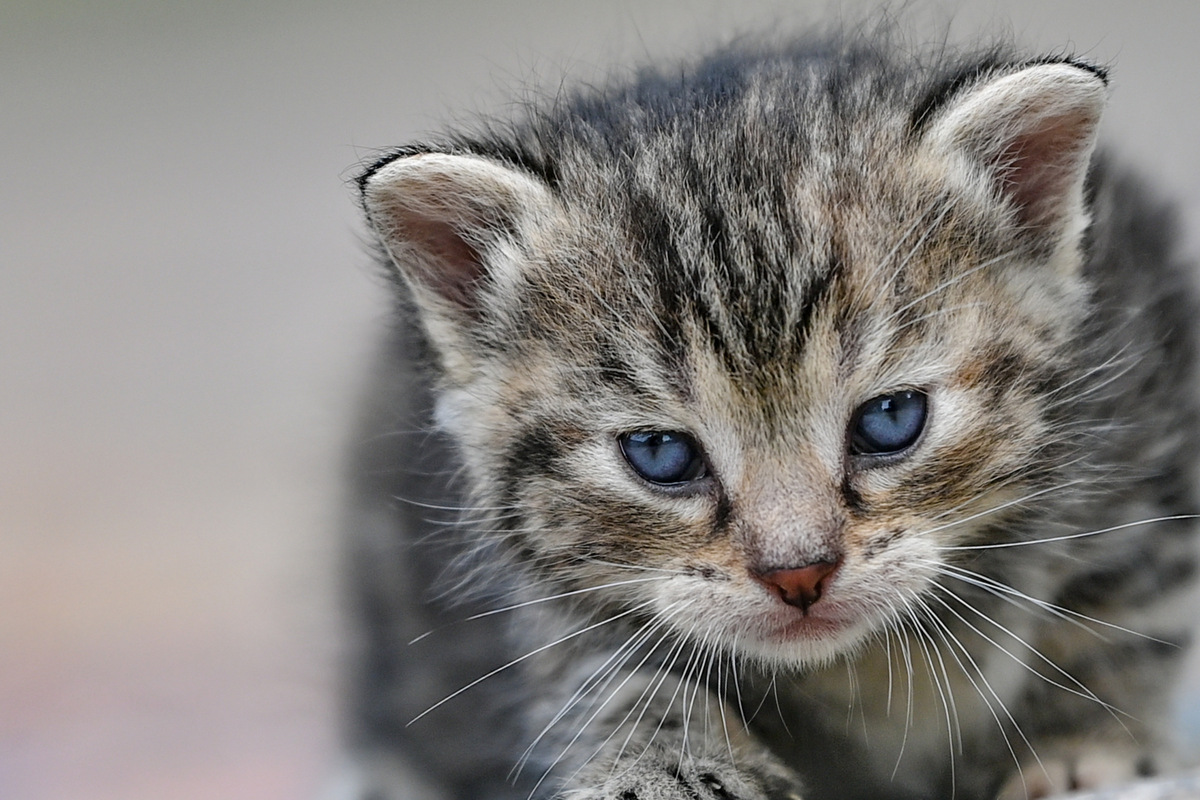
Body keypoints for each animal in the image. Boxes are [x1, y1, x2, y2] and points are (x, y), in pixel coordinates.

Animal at [340, 28, 1200, 800]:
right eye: (661, 454)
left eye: (891, 418)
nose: (799, 574)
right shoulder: (550, 605)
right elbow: (607, 677)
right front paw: (663, 765)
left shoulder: (1143, 417)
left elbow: (1117, 613)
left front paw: (1081, 741)